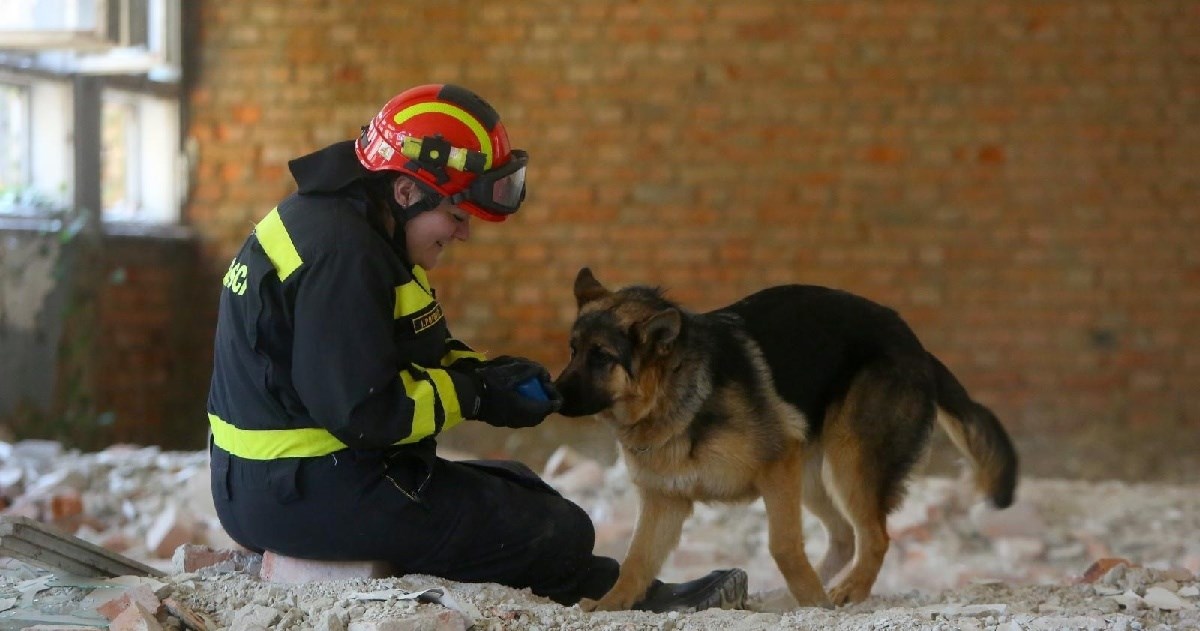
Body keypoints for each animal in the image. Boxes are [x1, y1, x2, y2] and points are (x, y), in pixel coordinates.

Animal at [556, 268, 1017, 614]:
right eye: (573, 349)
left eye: (602, 357)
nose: (553, 394)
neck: (674, 394)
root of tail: (915, 343)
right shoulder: (664, 500)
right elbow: (636, 560)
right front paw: (610, 604)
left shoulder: (776, 468)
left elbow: (783, 546)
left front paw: (813, 601)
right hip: (812, 478)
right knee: (845, 536)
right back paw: (801, 595)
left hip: (848, 462)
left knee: (874, 537)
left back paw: (844, 592)